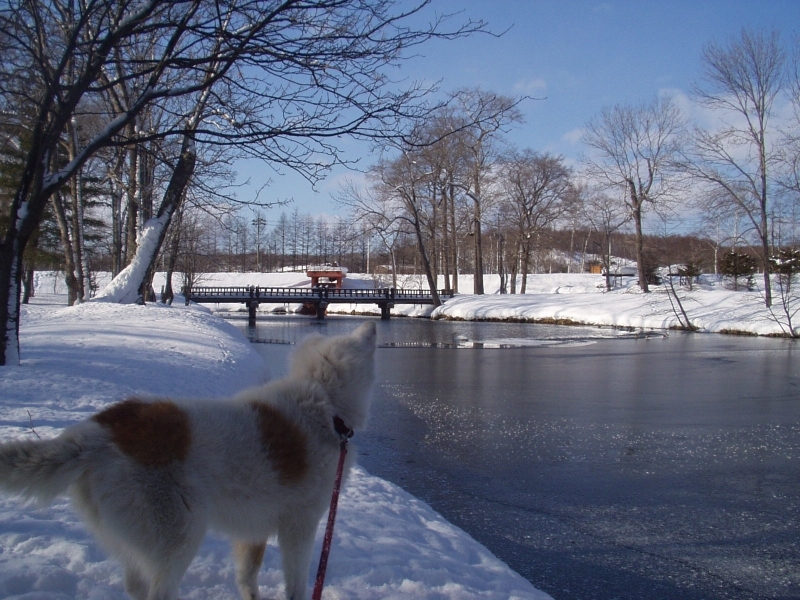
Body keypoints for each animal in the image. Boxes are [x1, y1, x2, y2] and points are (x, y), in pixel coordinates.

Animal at [0, 324, 378, 600]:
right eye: (360, 341)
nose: (371, 325)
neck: (324, 403)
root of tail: (95, 432)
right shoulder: (300, 526)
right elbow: (297, 584)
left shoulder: (252, 530)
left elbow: (247, 577)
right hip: (180, 536)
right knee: (160, 592)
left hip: (134, 541)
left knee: (136, 586)